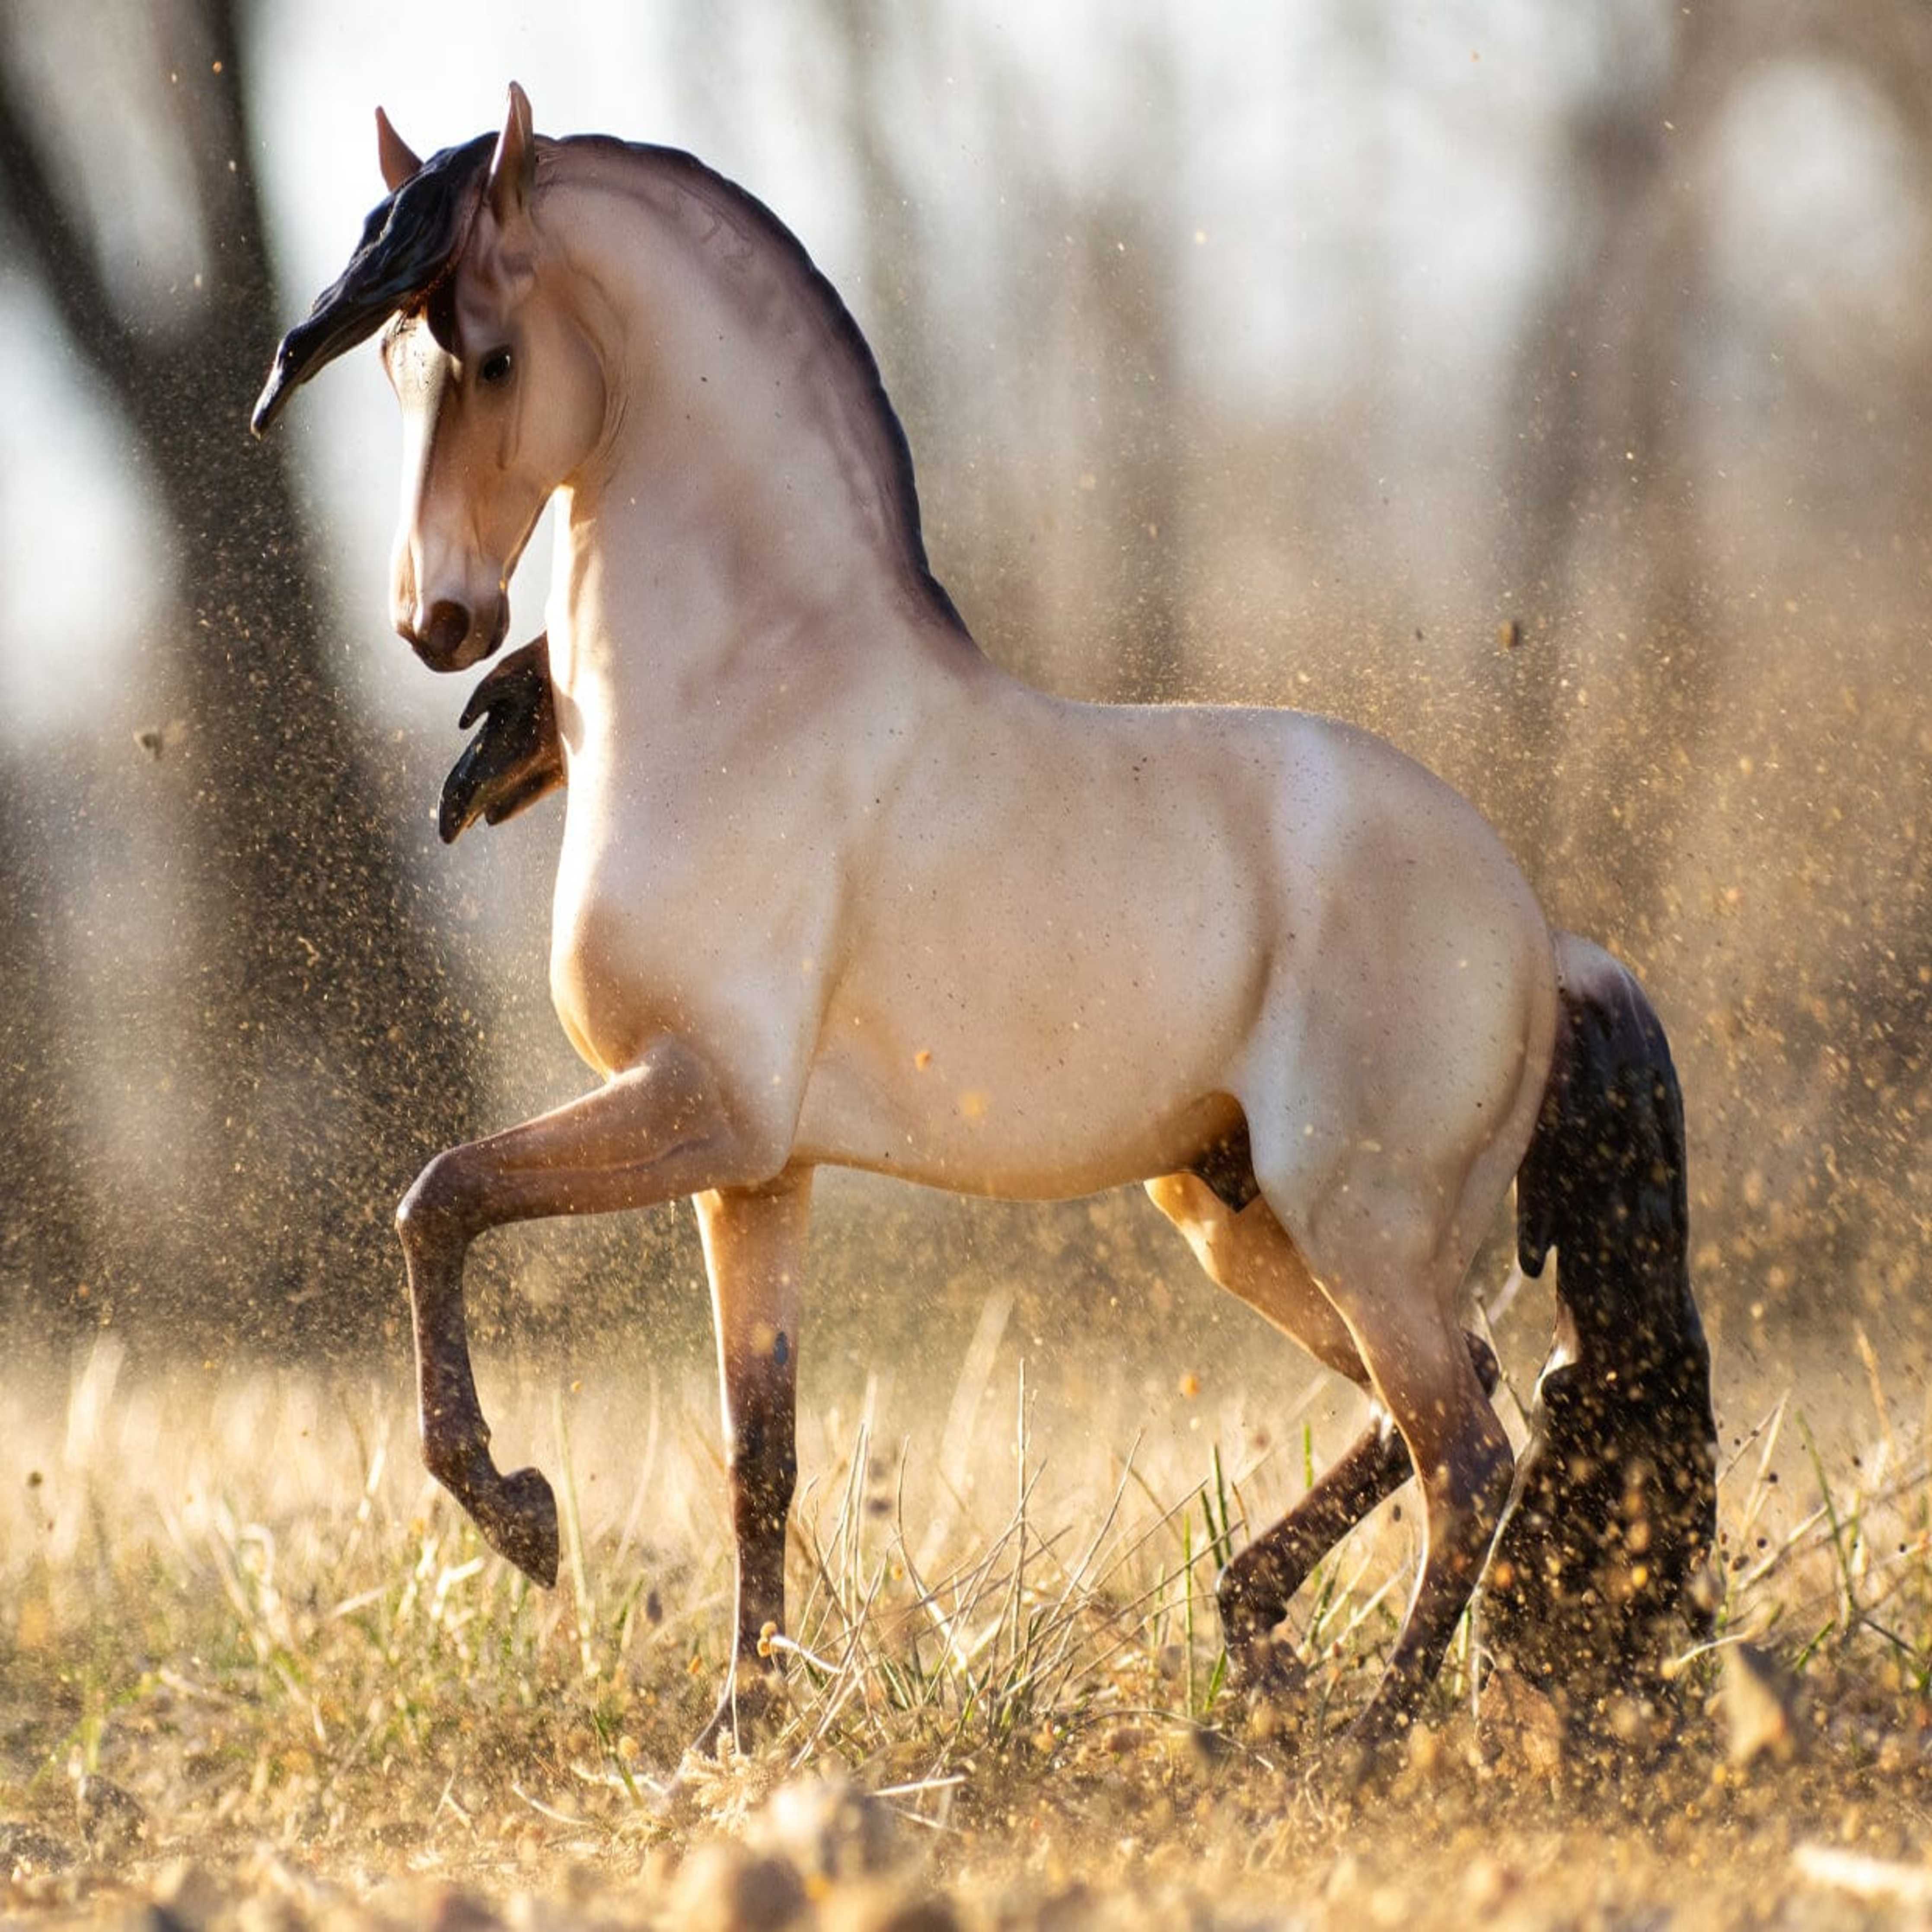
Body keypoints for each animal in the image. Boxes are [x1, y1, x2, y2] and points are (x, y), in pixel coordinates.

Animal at [257, 83, 1723, 1762]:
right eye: (394, 363)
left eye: (491, 356)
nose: (438, 625)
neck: (746, 694)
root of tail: (1539, 932)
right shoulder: (754, 1169)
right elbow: (759, 1449)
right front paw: (737, 1729)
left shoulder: (699, 1106)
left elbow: (436, 1197)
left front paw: (519, 1517)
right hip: (1234, 1213)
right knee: (1451, 1400)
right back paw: (1260, 1647)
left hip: (1357, 1217)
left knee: (1467, 1454)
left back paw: (1366, 1739)